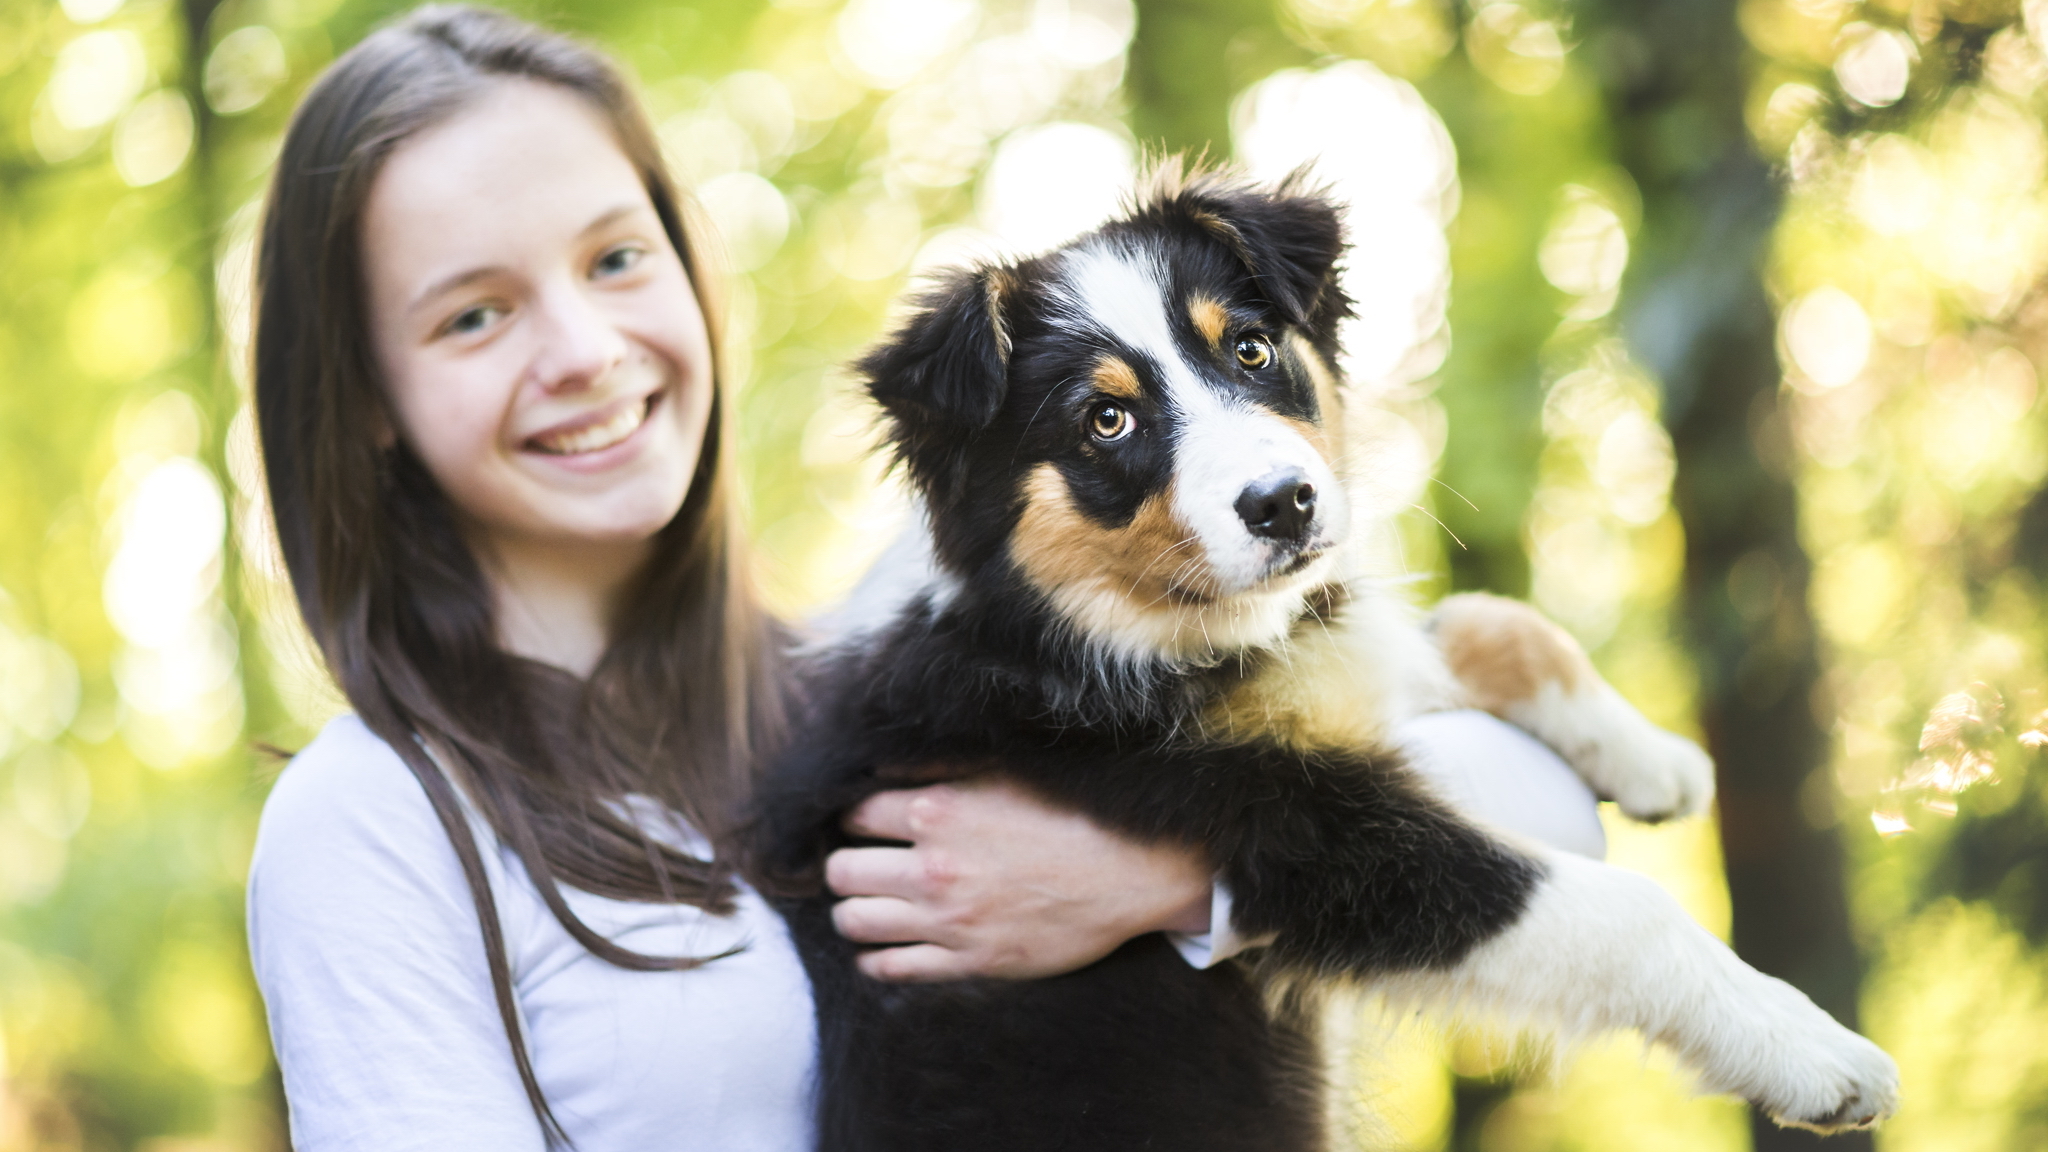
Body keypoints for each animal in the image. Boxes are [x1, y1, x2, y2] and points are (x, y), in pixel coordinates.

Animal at [757, 163, 1900, 1147]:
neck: (1080, 626)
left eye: (1251, 350)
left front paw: (1653, 757)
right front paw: (1817, 1055)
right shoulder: (1284, 825)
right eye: (1106, 419)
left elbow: (1483, 620)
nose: (1283, 504)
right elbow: (1616, 914)